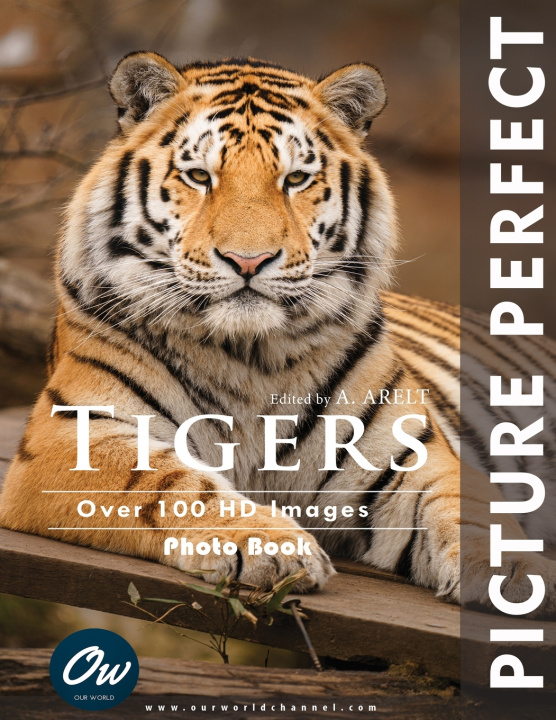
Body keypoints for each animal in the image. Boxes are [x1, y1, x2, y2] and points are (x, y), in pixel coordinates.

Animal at [1, 51, 555, 614]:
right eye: (199, 176)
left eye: (295, 179)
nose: (249, 260)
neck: (249, 355)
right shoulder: (70, 439)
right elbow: (171, 482)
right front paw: (270, 545)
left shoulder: (411, 456)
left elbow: (467, 508)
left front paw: (521, 571)